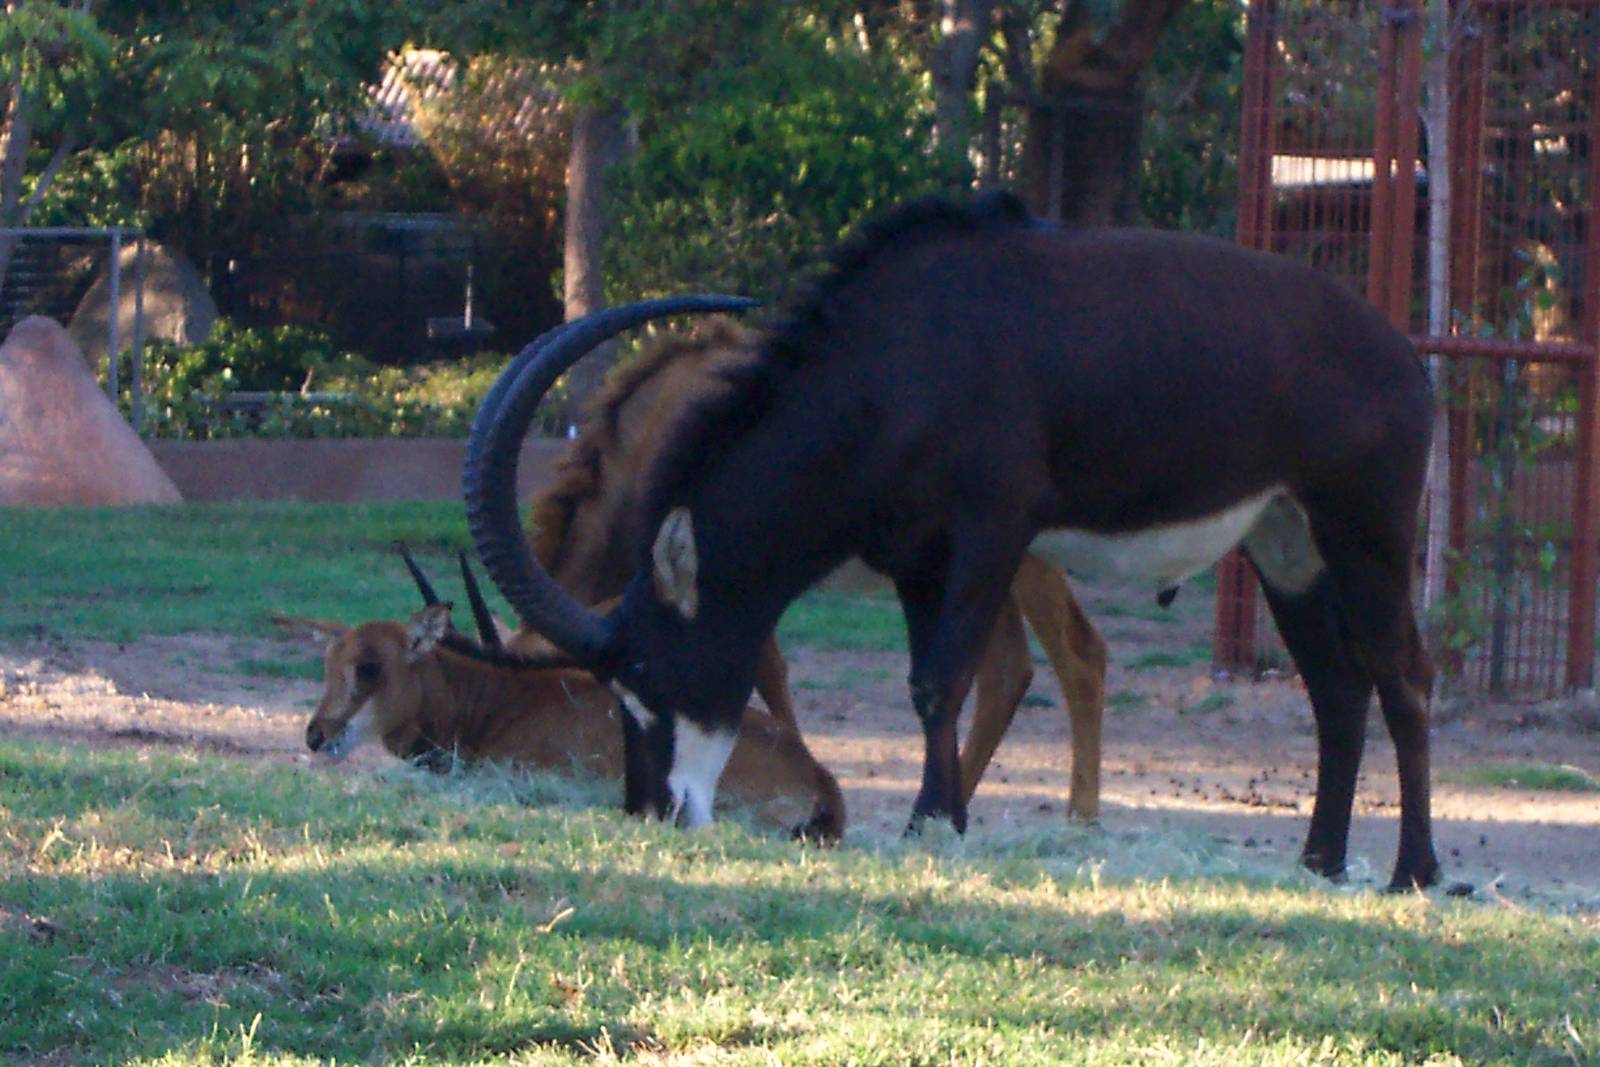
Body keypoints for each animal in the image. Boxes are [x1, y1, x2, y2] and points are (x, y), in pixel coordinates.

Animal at [465, 191, 1442, 890]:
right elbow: (926, 684)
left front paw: (928, 823)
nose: (658, 813)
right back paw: (1319, 863)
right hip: (1287, 544)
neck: (893, 357)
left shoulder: (993, 529)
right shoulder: (917, 557)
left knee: (1404, 678)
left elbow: (943, 679)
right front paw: (939, 819)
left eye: (649, 673)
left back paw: (1412, 873)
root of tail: (1400, 354)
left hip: (1365, 531)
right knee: (1338, 690)